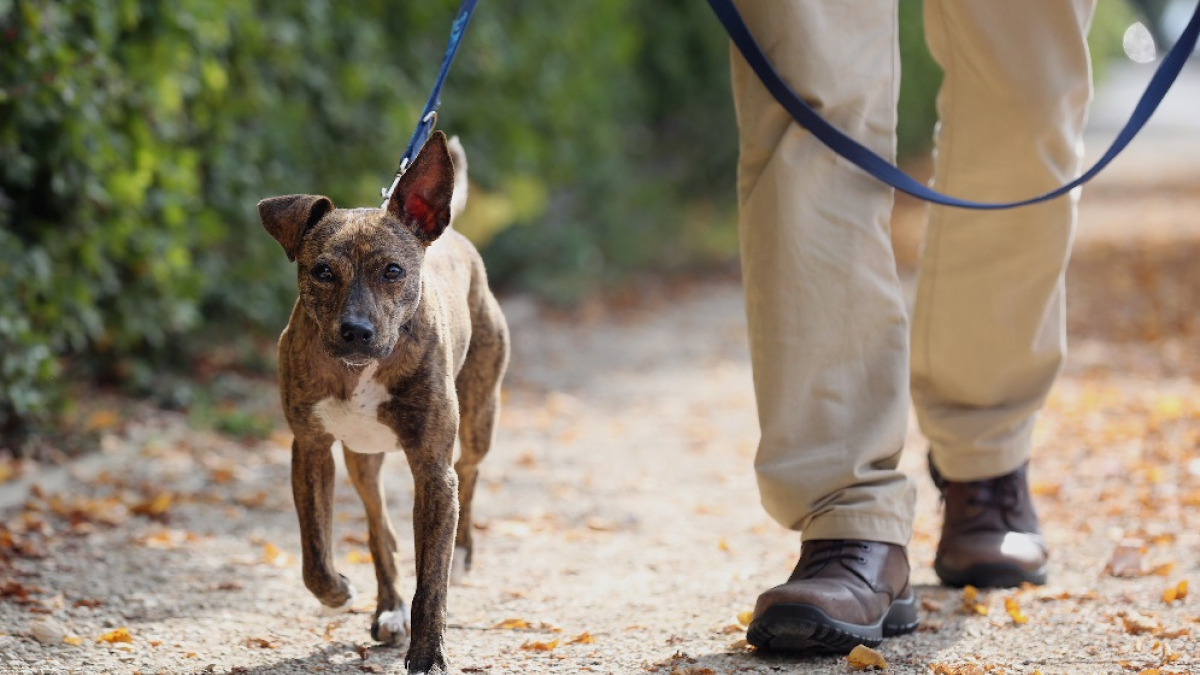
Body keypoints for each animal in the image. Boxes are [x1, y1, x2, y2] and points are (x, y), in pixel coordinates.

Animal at [260, 131, 508, 672]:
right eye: (322, 271)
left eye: (393, 271)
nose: (356, 331)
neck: (360, 371)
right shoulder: (310, 448)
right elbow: (315, 553)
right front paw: (337, 591)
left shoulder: (434, 470)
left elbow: (432, 580)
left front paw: (429, 653)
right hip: (362, 458)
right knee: (380, 530)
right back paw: (389, 607)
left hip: (480, 417)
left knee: (471, 472)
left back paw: (463, 552)